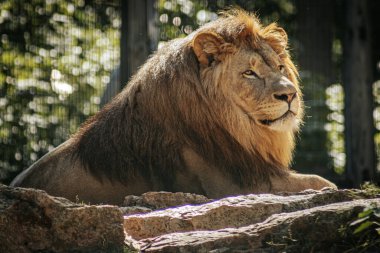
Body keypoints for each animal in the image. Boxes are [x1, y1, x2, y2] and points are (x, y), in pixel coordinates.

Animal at [9, 9, 336, 205]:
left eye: (280, 67)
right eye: (249, 73)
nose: (289, 95)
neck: (236, 127)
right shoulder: (232, 187)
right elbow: (323, 182)